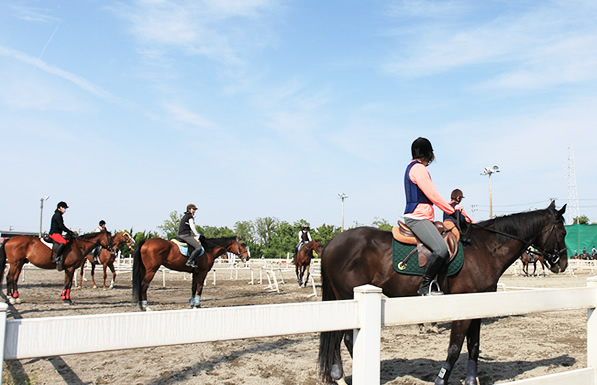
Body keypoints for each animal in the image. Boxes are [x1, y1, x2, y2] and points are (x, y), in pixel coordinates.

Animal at [318, 201, 564, 384]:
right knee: (346, 338)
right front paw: (441, 379)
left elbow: (473, 346)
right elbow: (454, 348)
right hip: (349, 298)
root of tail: (332, 242)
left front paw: (471, 380)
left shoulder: (479, 305)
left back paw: (339, 377)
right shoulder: (462, 305)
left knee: (338, 337)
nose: (561, 264)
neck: (485, 248)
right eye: (561, 231)